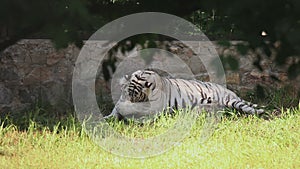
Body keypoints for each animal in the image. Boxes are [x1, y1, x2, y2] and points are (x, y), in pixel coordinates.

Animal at [104, 69, 264, 120]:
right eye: (128, 94)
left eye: (137, 97)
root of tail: (232, 92)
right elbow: (115, 110)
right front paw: (109, 118)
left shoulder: (153, 106)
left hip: (232, 101)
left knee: (248, 108)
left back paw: (262, 114)